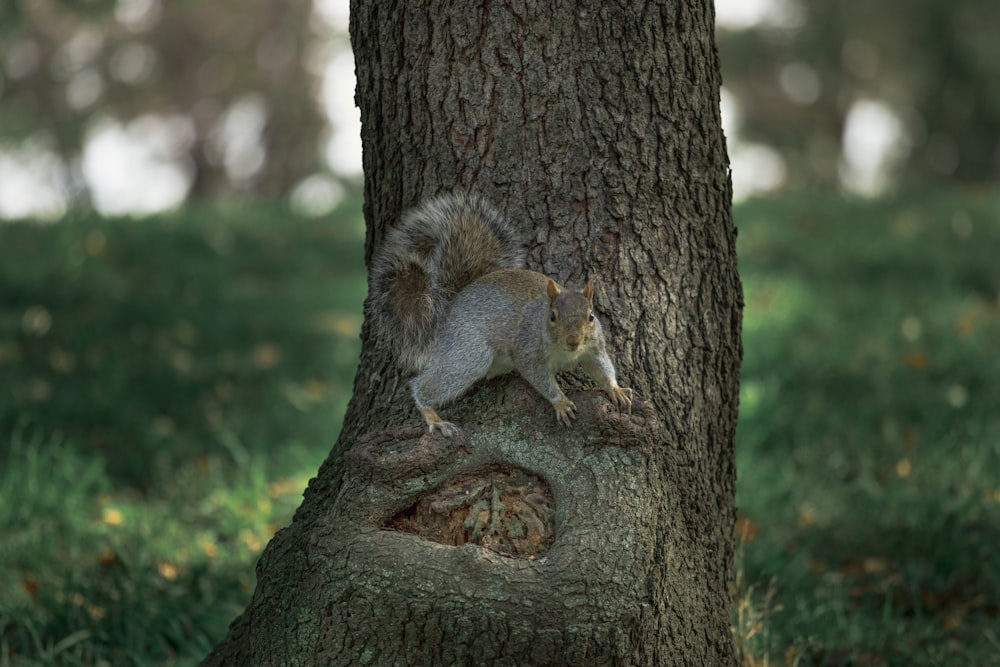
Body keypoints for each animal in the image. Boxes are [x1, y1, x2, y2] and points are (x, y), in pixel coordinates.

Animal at [368, 192, 632, 438]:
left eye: (591, 316)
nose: (573, 341)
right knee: (424, 385)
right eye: (553, 316)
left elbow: (602, 367)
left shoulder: (595, 347)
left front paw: (616, 389)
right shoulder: (527, 350)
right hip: (470, 350)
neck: (565, 351)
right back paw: (433, 417)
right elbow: (539, 377)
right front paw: (561, 402)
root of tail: (446, 314)